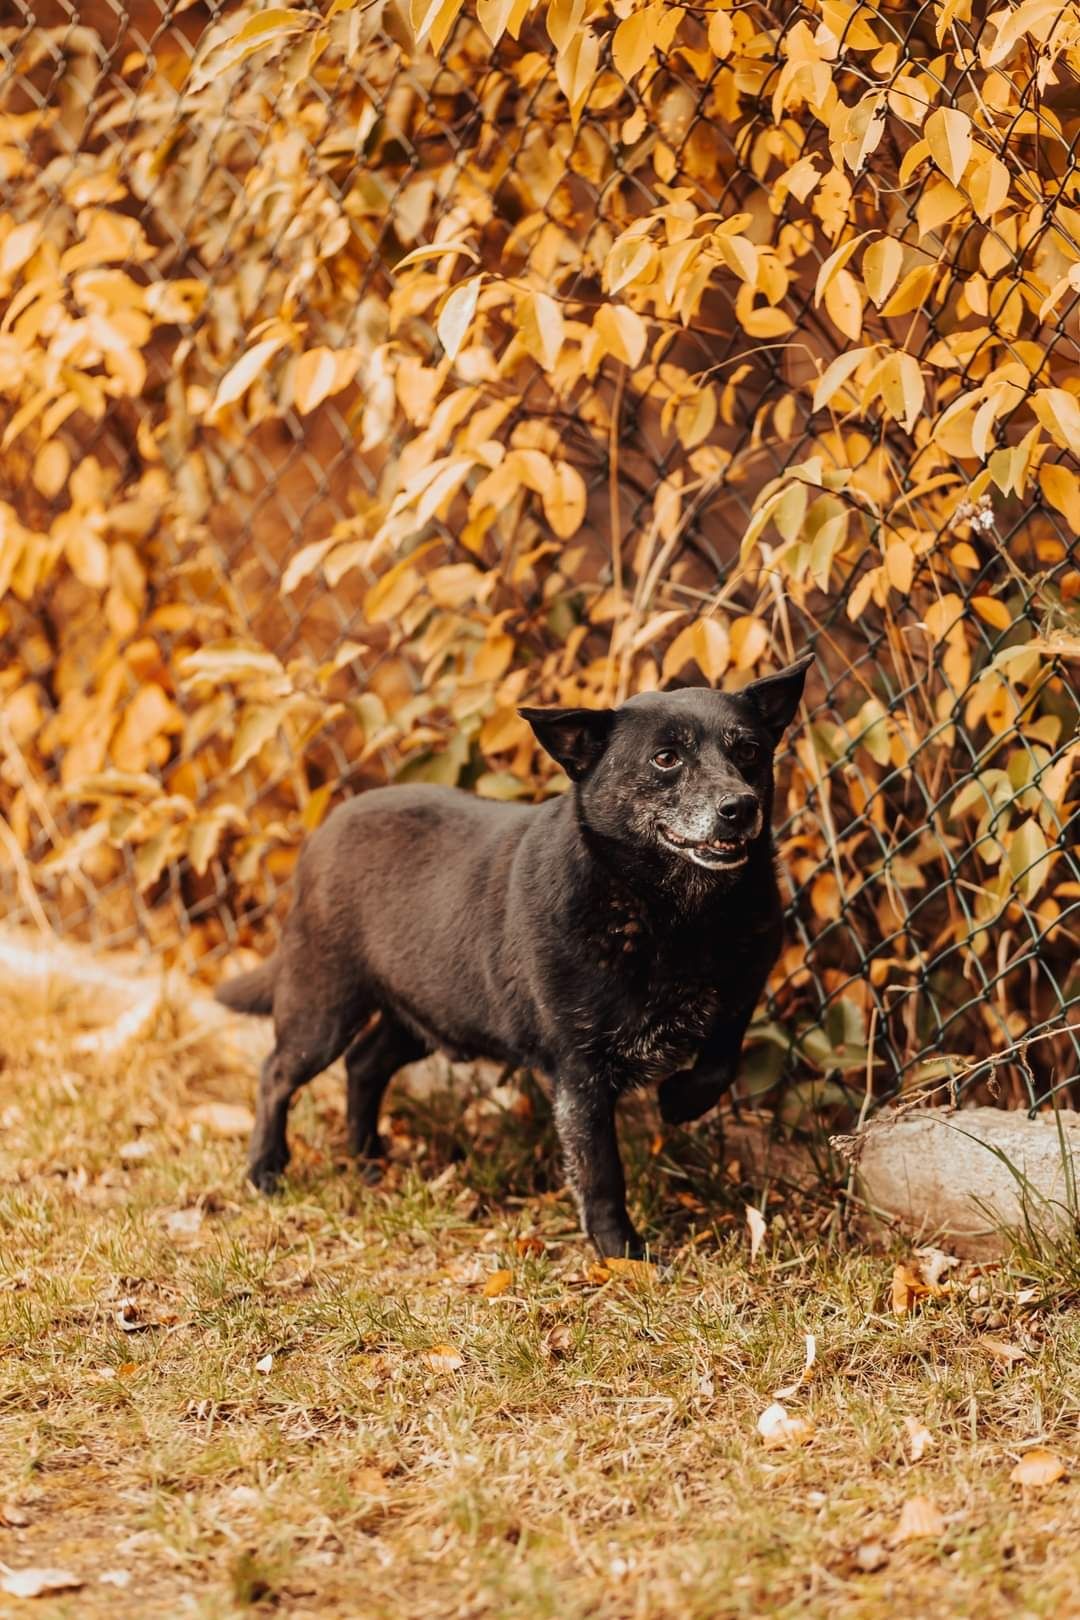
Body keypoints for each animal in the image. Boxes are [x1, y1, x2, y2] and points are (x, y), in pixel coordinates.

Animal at [216, 654, 809, 1250]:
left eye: (748, 750)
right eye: (666, 758)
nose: (739, 807)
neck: (678, 918)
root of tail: (324, 830)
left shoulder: (739, 994)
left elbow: (721, 1061)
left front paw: (681, 1100)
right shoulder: (578, 1073)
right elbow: (600, 1174)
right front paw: (622, 1253)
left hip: (431, 1013)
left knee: (364, 1065)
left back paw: (368, 1161)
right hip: (323, 1010)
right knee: (276, 1073)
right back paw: (266, 1169)